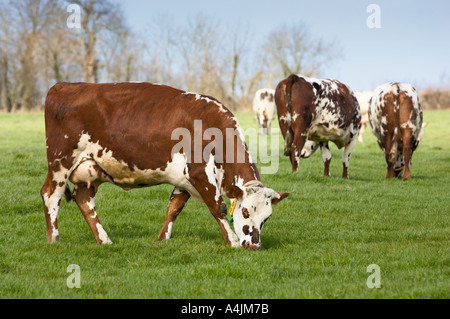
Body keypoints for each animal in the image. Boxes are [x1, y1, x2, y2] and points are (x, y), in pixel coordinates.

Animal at [41, 82, 288, 250]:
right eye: (245, 211)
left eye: (267, 217)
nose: (254, 245)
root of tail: (63, 86)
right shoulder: (200, 173)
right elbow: (217, 207)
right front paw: (233, 241)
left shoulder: (185, 179)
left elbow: (174, 207)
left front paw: (162, 239)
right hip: (60, 162)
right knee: (50, 195)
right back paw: (54, 240)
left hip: (90, 169)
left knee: (85, 200)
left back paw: (105, 240)